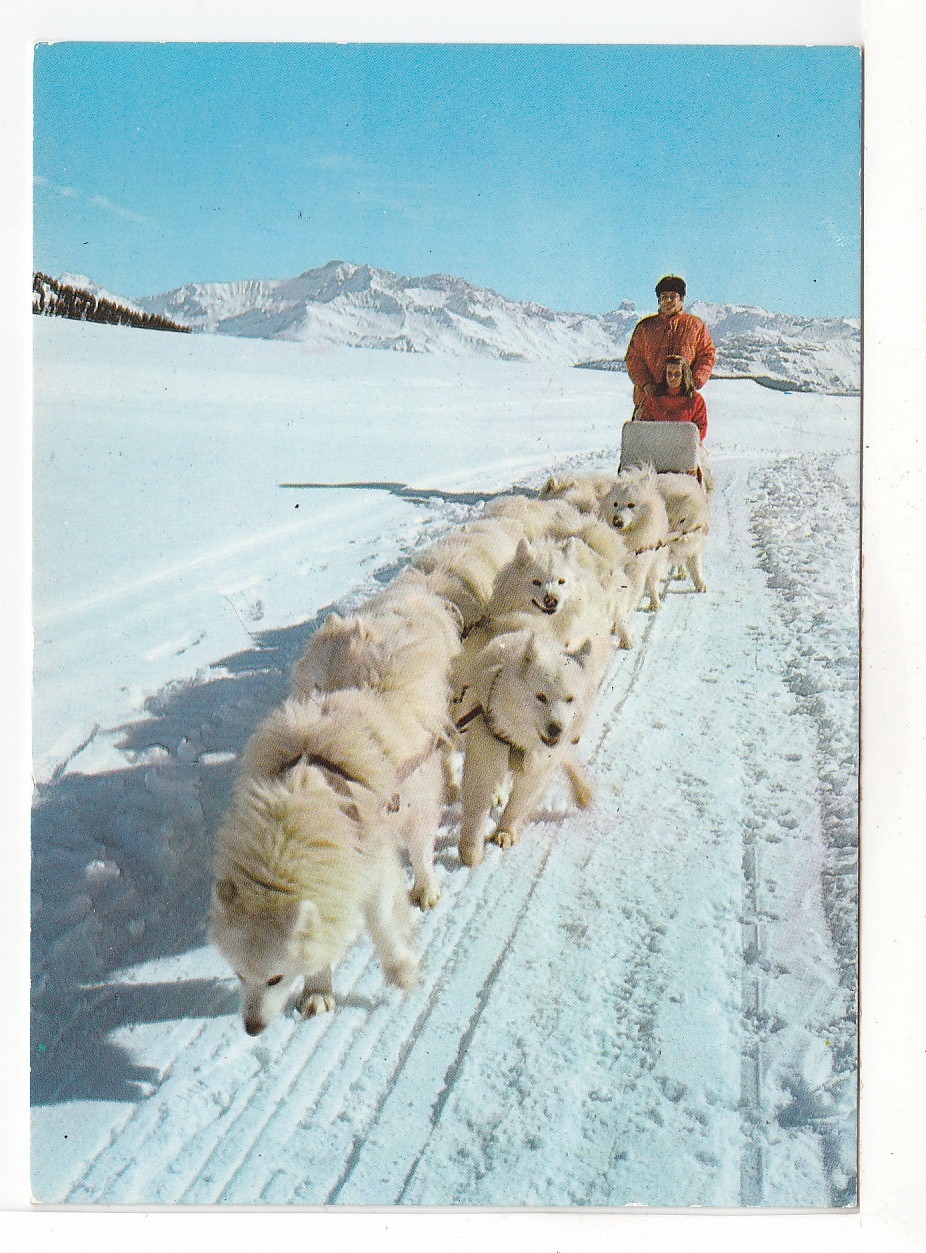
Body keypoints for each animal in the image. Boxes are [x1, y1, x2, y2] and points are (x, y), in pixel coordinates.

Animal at [453, 626, 593, 872]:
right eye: (541, 697)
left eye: (569, 699)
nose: (556, 728)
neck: (520, 741)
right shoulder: (483, 763)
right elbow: (476, 814)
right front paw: (471, 853)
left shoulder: (536, 772)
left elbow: (517, 807)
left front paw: (504, 832)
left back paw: (582, 790)